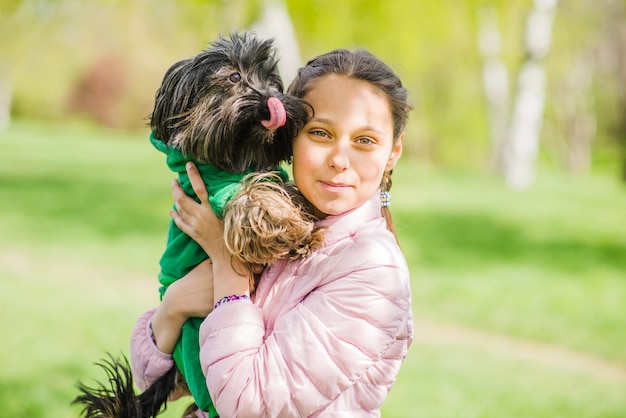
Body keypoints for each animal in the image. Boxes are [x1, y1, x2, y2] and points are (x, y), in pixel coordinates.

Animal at [74, 31, 322, 418]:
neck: (235, 160)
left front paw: (301, 220)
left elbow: (280, 185)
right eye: (234, 77)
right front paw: (287, 229)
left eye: (271, 80)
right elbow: (251, 198)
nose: (274, 100)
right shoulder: (222, 191)